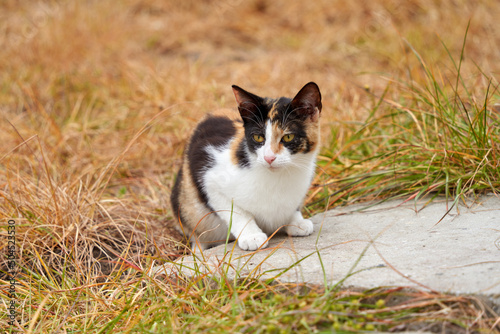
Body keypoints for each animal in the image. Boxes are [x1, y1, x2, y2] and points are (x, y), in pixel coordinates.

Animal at [170, 82, 322, 252]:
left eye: (288, 136)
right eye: (258, 137)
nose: (269, 158)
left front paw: (296, 221)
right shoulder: (207, 173)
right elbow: (236, 211)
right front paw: (252, 236)